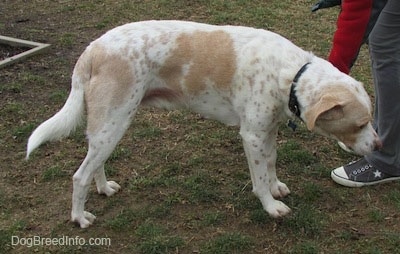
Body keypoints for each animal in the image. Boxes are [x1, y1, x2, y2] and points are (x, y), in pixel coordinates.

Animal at [26, 20, 380, 229]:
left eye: (371, 120)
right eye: (360, 123)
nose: (378, 145)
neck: (290, 74)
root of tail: (92, 49)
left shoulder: (267, 130)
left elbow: (271, 163)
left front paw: (277, 186)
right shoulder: (252, 135)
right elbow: (259, 179)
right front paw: (271, 206)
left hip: (110, 127)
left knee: (93, 165)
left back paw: (103, 188)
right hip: (113, 122)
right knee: (79, 175)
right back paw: (79, 217)